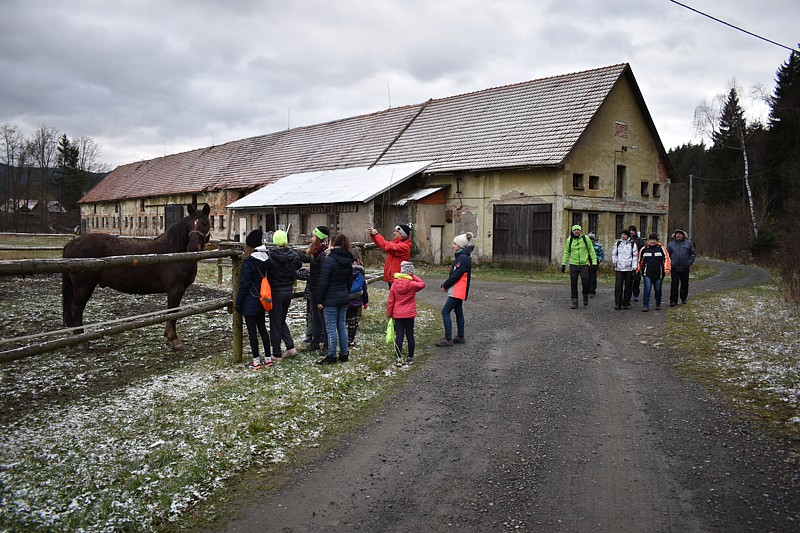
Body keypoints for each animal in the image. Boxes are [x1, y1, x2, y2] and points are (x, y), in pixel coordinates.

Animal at [63, 203, 212, 350]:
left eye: (204, 224)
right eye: (190, 224)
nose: (193, 248)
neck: (174, 252)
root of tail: (71, 244)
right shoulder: (175, 289)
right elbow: (172, 313)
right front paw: (174, 340)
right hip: (83, 286)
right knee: (76, 309)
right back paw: (80, 343)